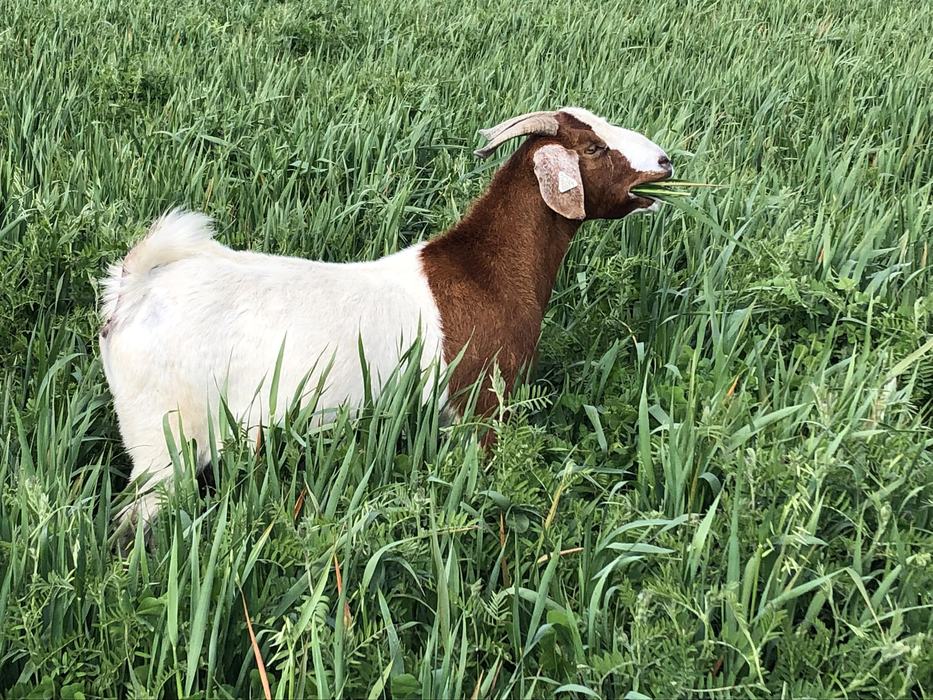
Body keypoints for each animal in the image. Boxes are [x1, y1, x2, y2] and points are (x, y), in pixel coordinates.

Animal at [100, 107, 673, 529]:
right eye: (594, 148)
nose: (666, 161)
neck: (484, 271)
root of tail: (134, 290)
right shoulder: (482, 406)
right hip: (163, 440)